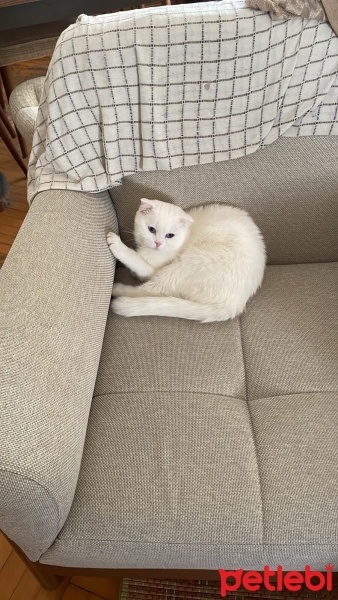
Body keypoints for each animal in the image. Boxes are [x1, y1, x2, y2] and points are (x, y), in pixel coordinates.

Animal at [107, 198, 266, 322]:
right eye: (151, 229)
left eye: (170, 235)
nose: (158, 243)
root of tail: (234, 304)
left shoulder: (152, 269)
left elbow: (137, 262)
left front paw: (117, 245)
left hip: (183, 266)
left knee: (148, 291)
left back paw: (117, 289)